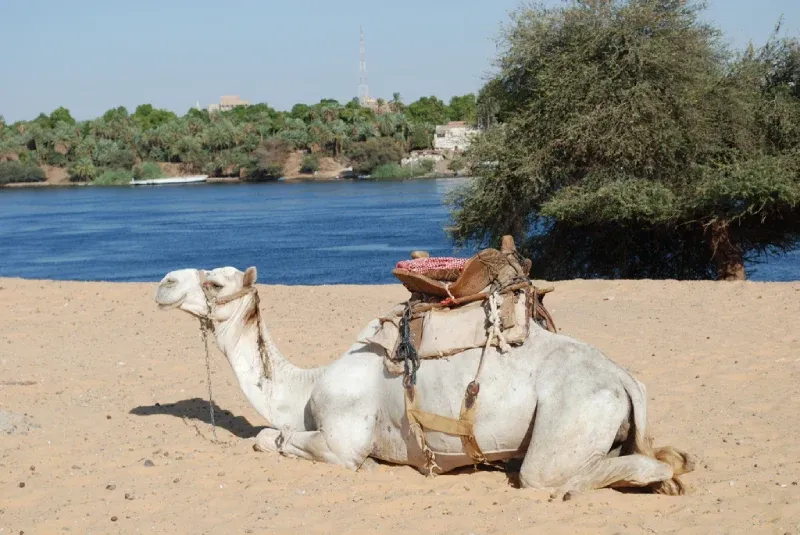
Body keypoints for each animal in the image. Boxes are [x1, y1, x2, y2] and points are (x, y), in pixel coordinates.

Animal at [154, 266, 695, 497]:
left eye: (216, 282)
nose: (164, 282)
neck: (304, 389)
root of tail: (624, 379)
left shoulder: (342, 440)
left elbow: (273, 439)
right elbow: (271, 436)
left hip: (573, 416)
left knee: (548, 475)